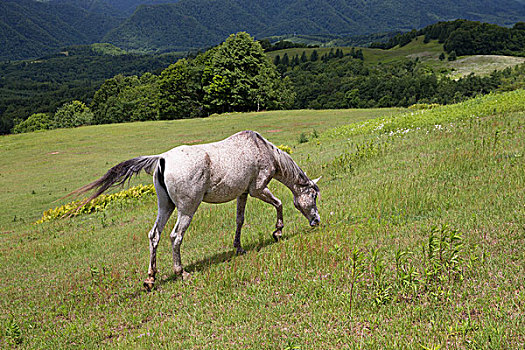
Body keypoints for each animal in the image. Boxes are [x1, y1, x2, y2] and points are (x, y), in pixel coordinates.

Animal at [72, 131, 320, 290]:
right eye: (314, 195)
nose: (316, 221)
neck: (262, 149)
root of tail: (162, 159)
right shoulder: (258, 189)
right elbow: (279, 204)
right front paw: (277, 232)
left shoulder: (242, 193)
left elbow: (239, 219)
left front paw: (239, 247)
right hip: (187, 209)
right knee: (175, 236)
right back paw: (181, 272)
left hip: (166, 207)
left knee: (155, 236)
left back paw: (150, 279)